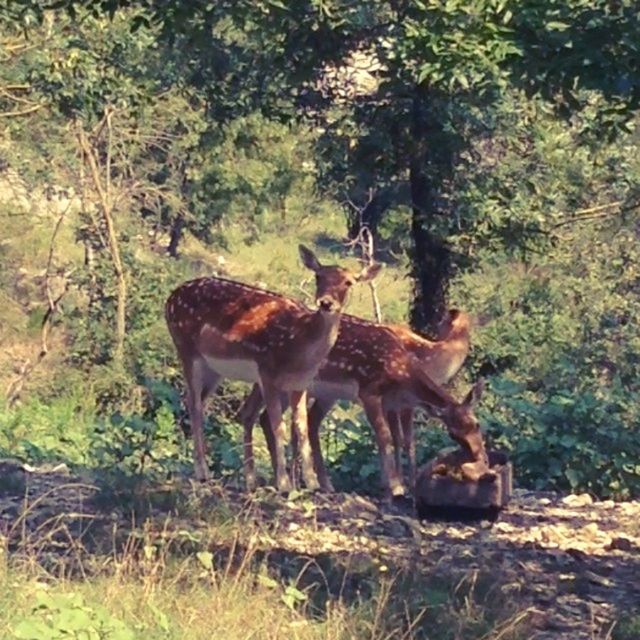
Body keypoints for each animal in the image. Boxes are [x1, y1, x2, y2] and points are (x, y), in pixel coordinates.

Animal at [165, 244, 380, 490]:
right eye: (319, 276)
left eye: (348, 282)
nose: (326, 302)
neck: (300, 345)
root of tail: (169, 299)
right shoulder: (266, 370)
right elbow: (279, 426)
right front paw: (285, 484)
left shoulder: (301, 383)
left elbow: (302, 427)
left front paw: (311, 483)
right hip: (185, 346)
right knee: (193, 403)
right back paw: (203, 472)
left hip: (213, 368)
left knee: (199, 401)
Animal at [240, 312, 490, 498]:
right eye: (453, 434)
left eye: (477, 425)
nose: (481, 458)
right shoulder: (371, 393)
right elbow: (389, 436)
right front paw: (398, 485)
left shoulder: (393, 402)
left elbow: (399, 439)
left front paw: (394, 482)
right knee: (260, 415)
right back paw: (267, 482)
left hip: (319, 392)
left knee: (287, 420)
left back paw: (308, 482)